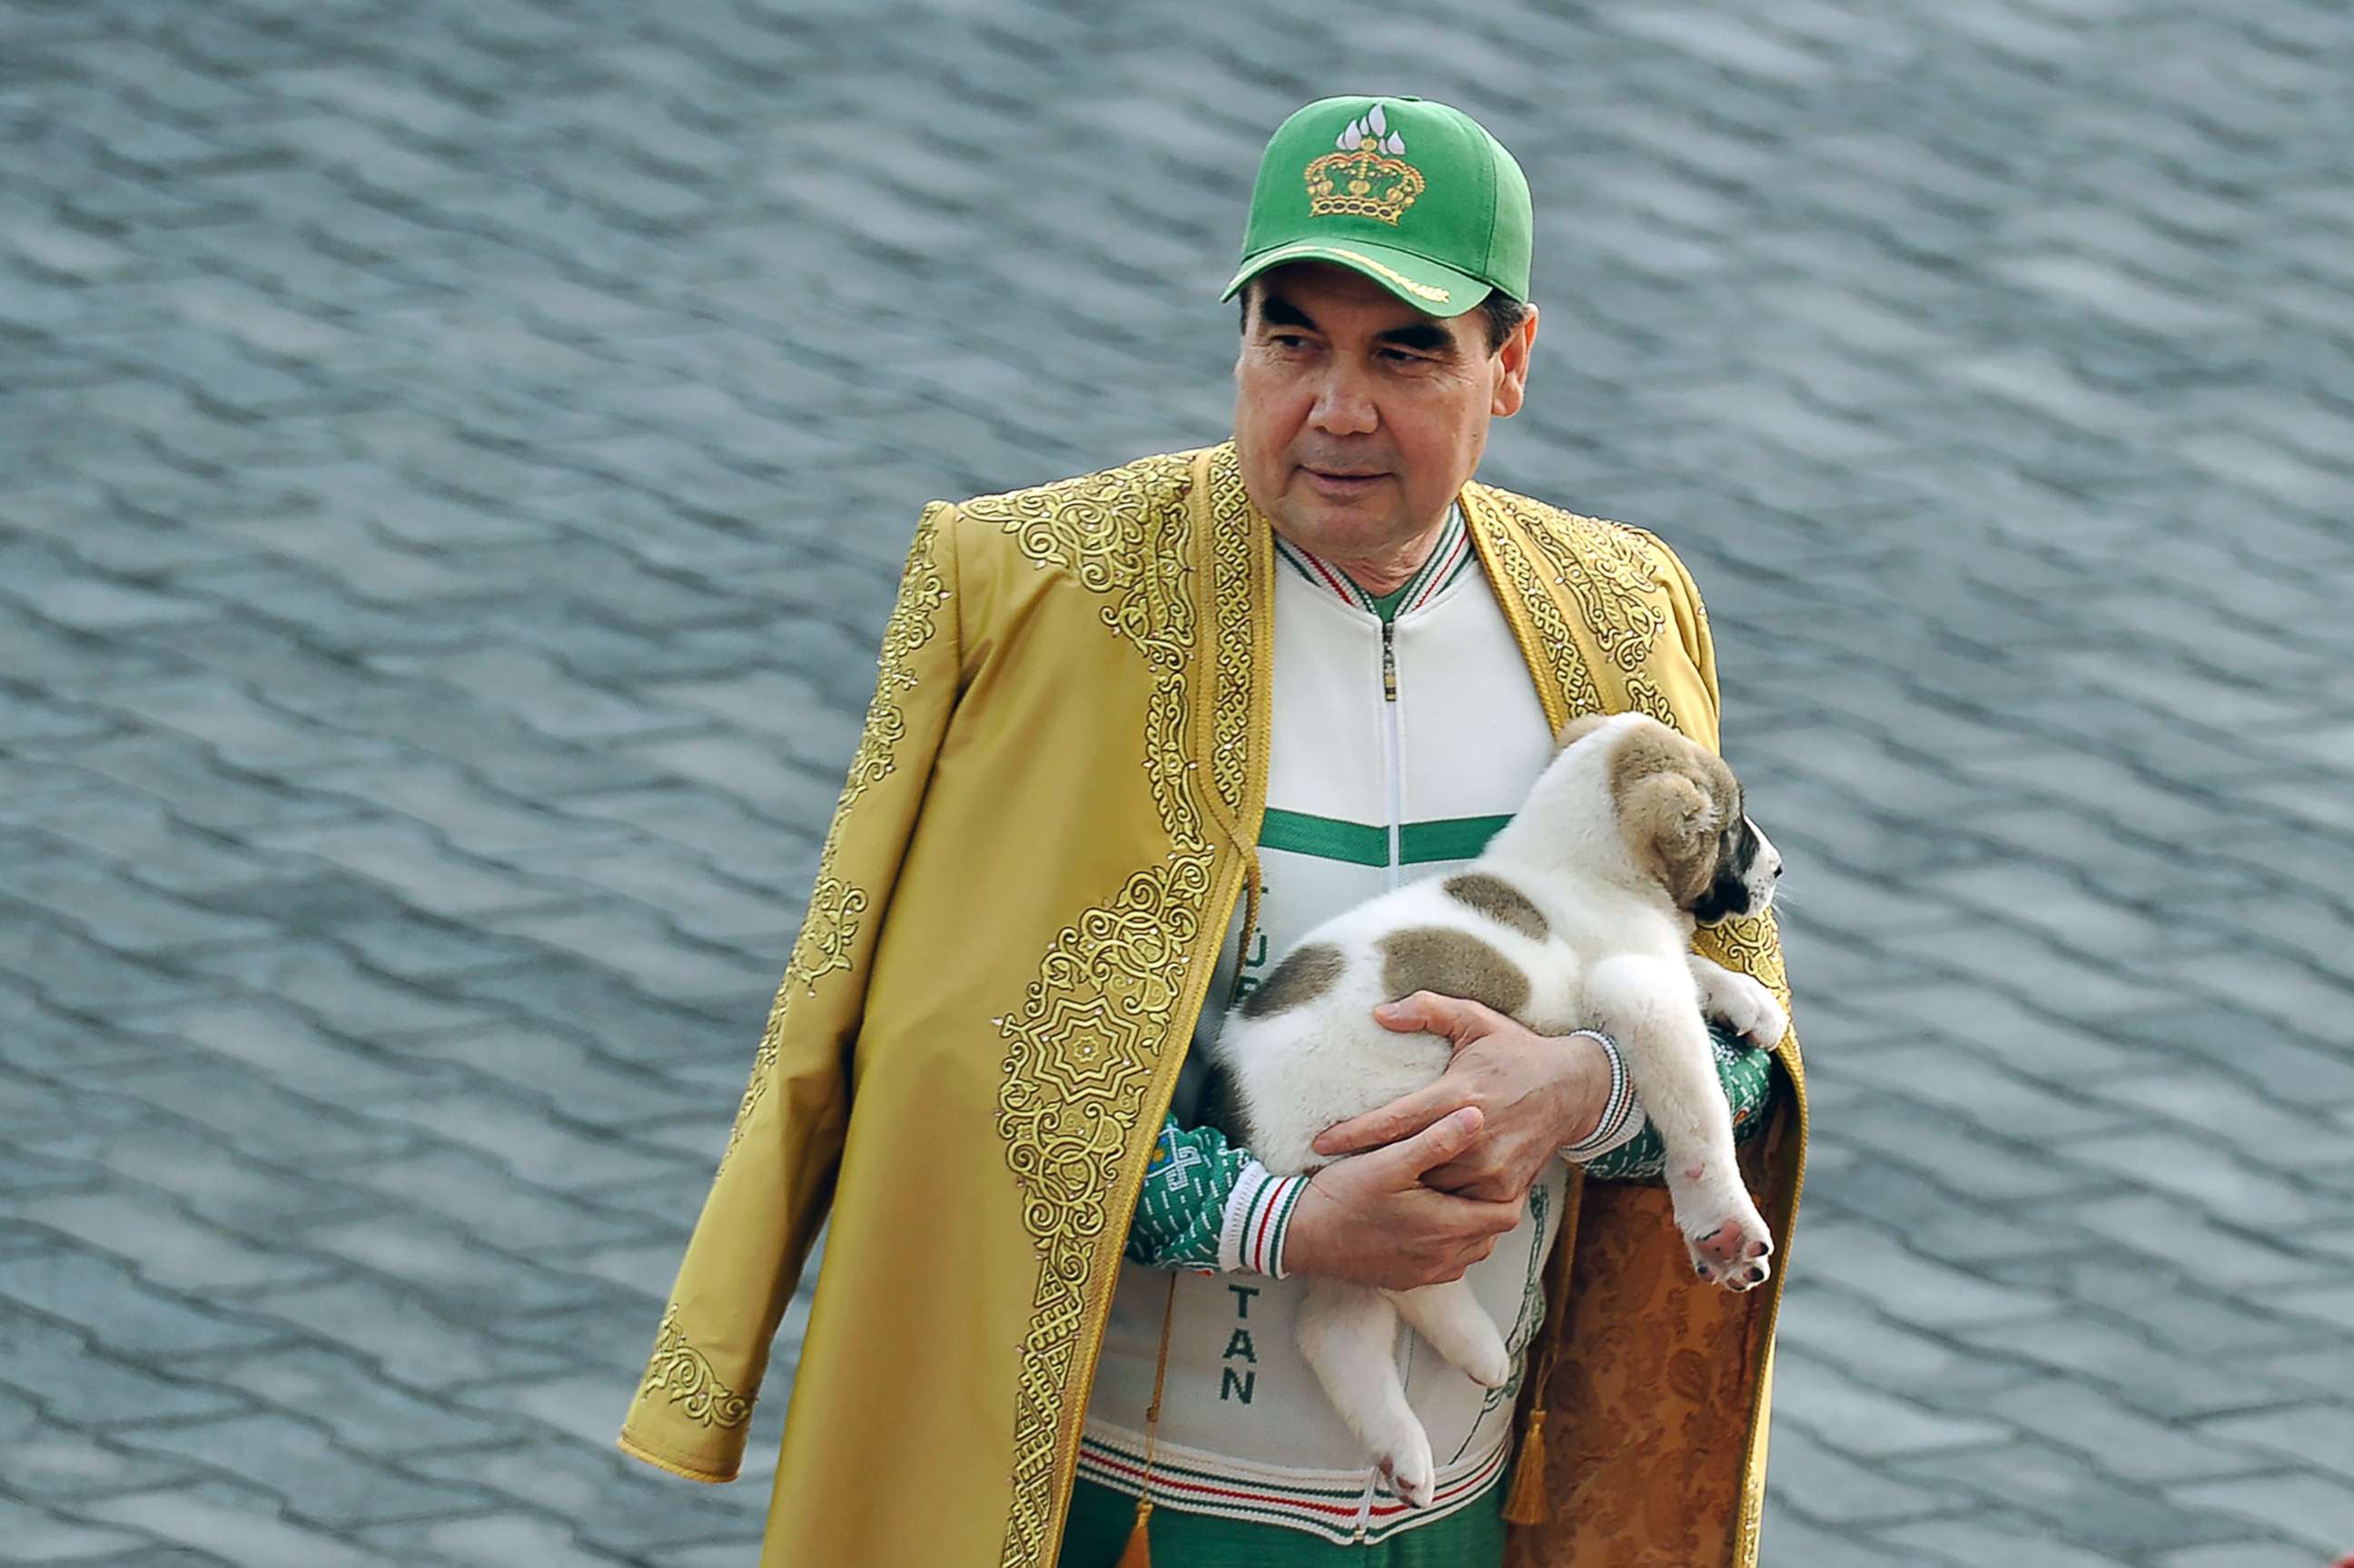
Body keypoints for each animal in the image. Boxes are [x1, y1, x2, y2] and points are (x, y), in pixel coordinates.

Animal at [1205, 705, 1788, 1506]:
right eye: (1733, 826)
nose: (1779, 869)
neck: (1570, 863)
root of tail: (1231, 1101)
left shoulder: (1652, 966)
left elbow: (1696, 967)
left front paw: (1749, 999)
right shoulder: (1640, 991)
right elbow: (1698, 1119)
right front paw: (1726, 1226)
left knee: (1336, 1324)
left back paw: (1403, 1444)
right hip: (1410, 1127)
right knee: (1411, 1272)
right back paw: (1477, 1344)